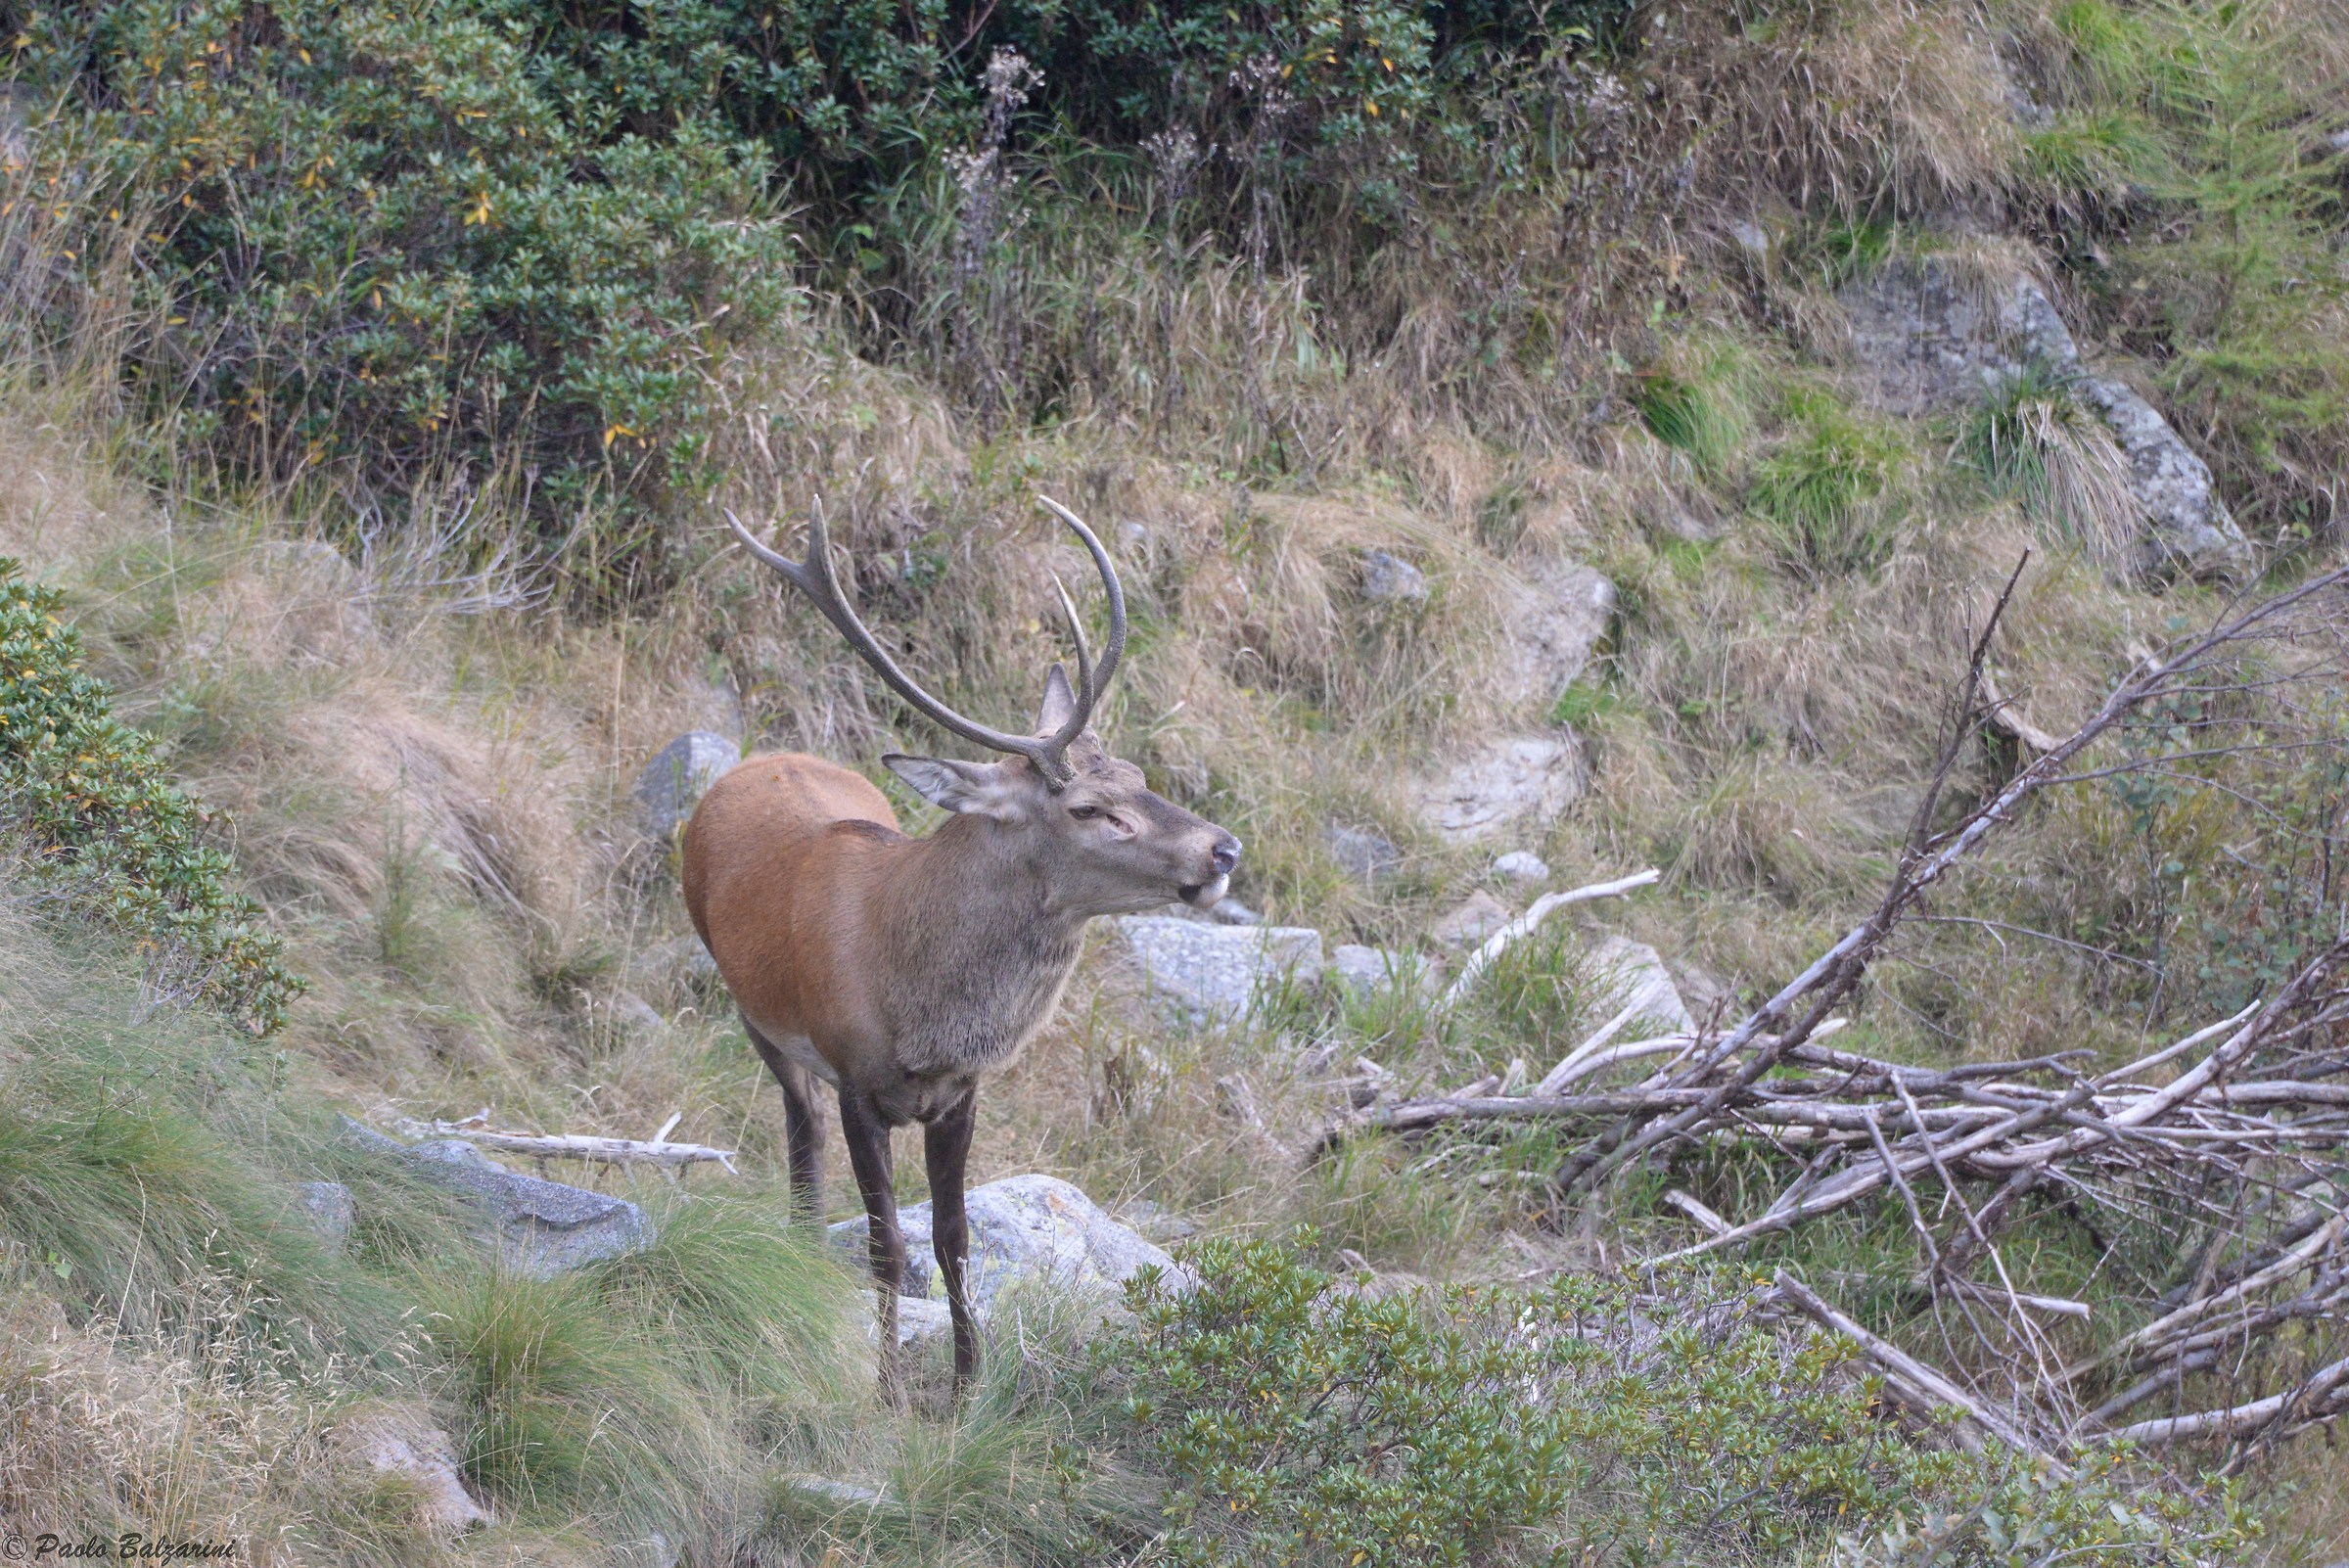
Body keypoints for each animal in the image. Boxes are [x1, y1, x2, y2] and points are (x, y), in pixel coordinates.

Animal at [683, 496, 1241, 1400]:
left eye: (1135, 771)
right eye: (1089, 809)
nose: (1221, 850)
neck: (922, 1009)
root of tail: (753, 762)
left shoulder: (963, 1093)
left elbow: (954, 1241)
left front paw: (968, 1387)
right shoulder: (857, 1080)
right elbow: (887, 1244)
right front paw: (887, 1391)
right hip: (755, 1016)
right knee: (801, 1140)